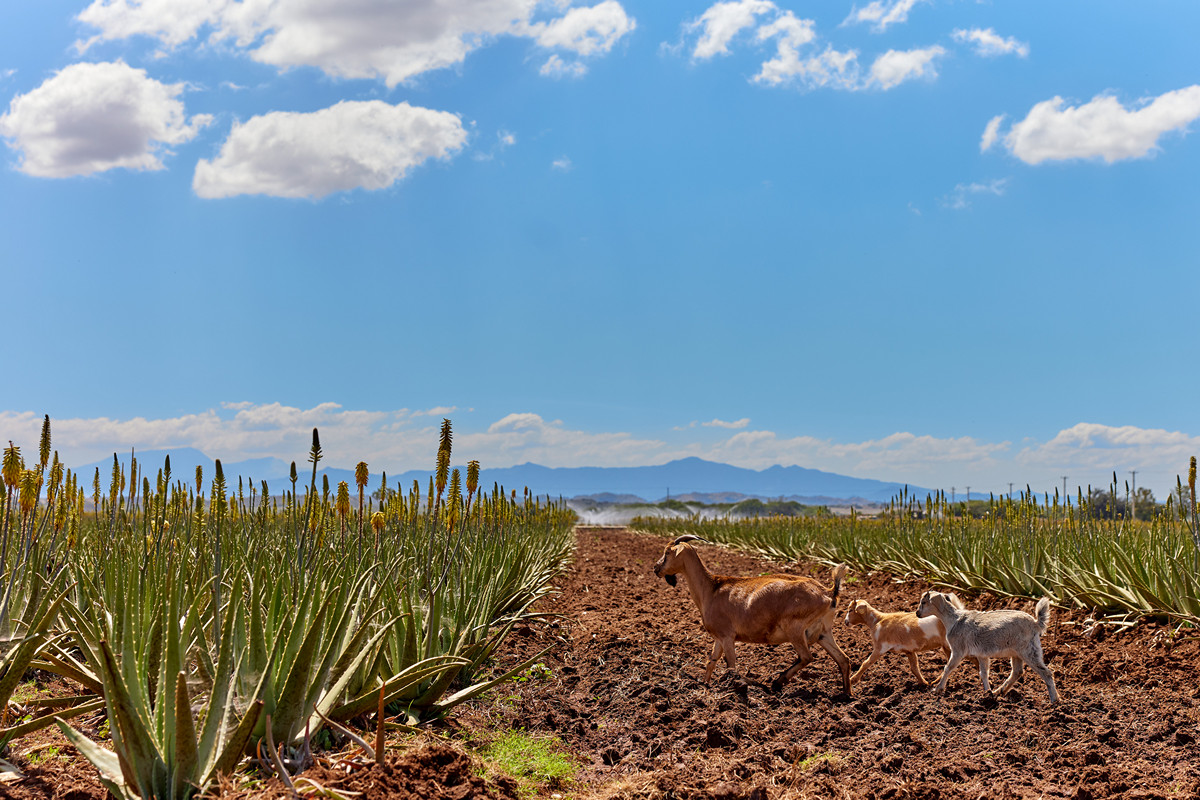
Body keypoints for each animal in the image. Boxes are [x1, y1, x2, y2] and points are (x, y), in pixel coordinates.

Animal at [652, 535, 851, 694]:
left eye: (667, 552)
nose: (656, 568)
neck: (711, 589)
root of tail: (828, 592)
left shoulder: (727, 636)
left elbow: (731, 666)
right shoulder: (718, 638)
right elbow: (711, 662)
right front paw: (705, 686)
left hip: (795, 629)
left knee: (807, 657)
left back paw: (777, 682)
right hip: (824, 633)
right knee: (843, 659)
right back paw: (846, 695)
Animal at [915, 590, 1058, 703]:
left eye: (924, 602)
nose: (917, 613)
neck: (954, 620)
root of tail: (1036, 623)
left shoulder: (957, 650)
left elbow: (948, 668)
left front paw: (937, 689)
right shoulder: (981, 654)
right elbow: (983, 673)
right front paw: (987, 693)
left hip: (1028, 650)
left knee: (1046, 672)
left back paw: (1055, 701)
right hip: (1017, 652)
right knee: (1017, 672)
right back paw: (998, 692)